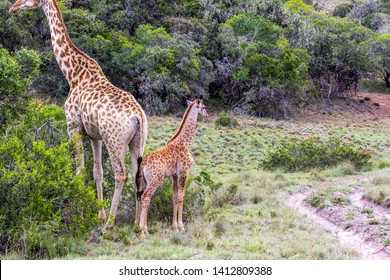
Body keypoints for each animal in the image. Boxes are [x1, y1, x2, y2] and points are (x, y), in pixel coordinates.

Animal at [9, 0, 149, 232]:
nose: (13, 7)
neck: (72, 74)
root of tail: (138, 116)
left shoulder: (73, 127)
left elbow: (79, 171)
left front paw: (81, 214)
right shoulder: (94, 135)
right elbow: (96, 172)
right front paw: (98, 214)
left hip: (114, 140)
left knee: (121, 174)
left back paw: (109, 226)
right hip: (137, 141)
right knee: (138, 174)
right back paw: (137, 225)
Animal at [137, 96, 209, 234]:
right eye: (203, 106)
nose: (207, 114)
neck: (186, 142)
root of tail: (143, 164)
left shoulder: (175, 175)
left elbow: (174, 197)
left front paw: (174, 226)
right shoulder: (183, 172)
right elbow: (181, 196)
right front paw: (181, 226)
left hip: (144, 180)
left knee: (140, 197)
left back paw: (138, 227)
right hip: (155, 180)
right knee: (145, 197)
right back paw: (144, 230)